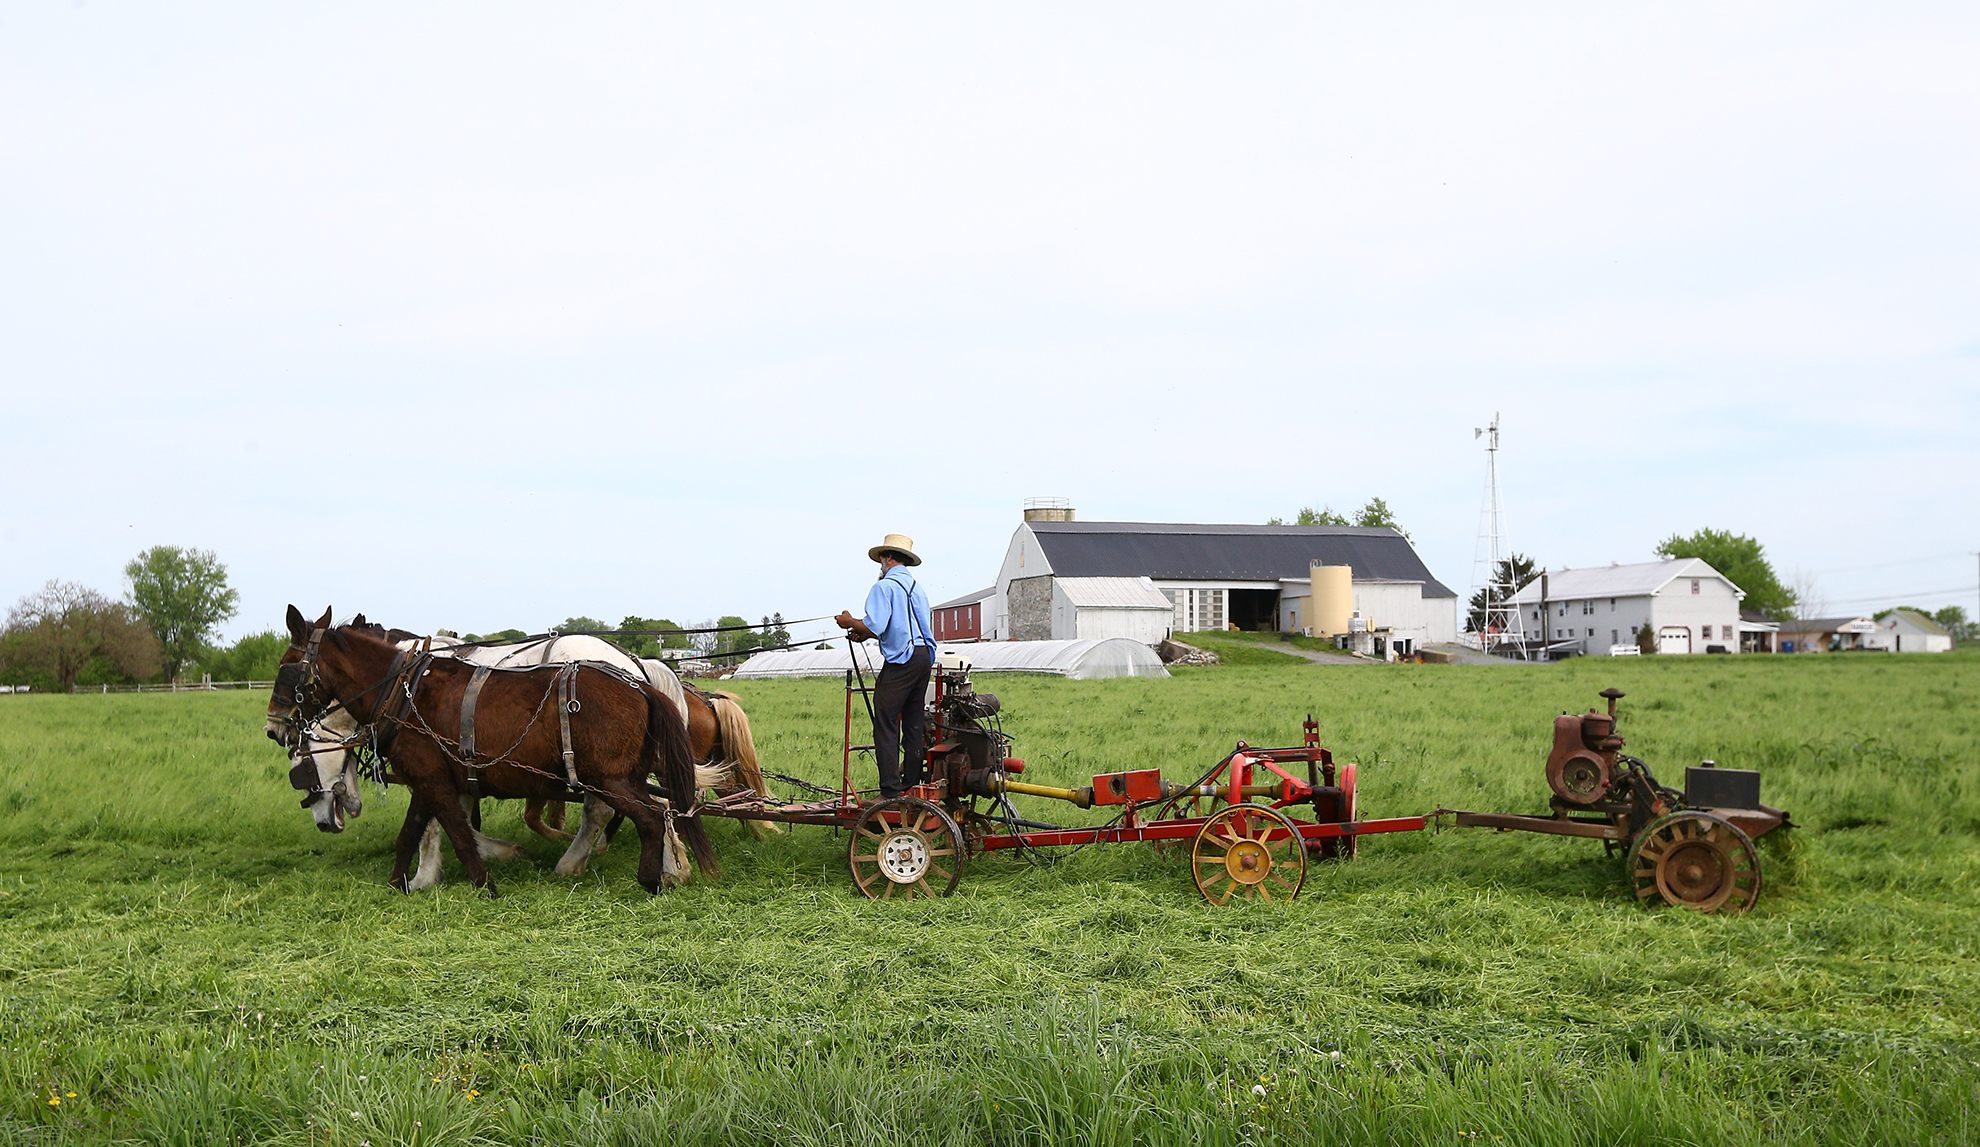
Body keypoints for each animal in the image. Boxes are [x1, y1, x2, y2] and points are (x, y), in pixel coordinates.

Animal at [275, 610, 716, 899]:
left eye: (286, 667)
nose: (275, 727)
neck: (403, 690)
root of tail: (639, 680)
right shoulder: (439, 777)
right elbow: (420, 829)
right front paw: (405, 881)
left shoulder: (430, 778)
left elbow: (446, 829)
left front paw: (474, 878)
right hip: (626, 774)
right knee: (662, 809)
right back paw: (669, 867)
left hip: (605, 778)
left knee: (635, 814)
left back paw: (631, 873)